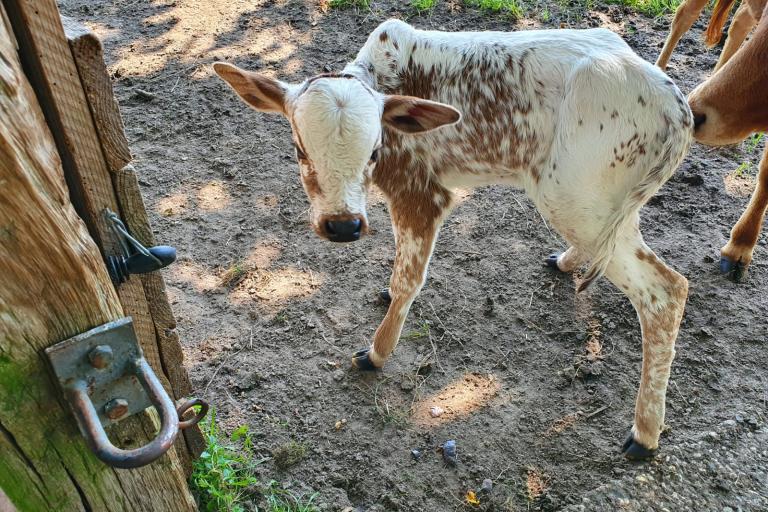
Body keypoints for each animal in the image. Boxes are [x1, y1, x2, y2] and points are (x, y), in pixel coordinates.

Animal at [213, 20, 692, 460]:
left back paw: (645, 433)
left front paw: (377, 352)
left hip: (572, 197)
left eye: (374, 151)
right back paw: (567, 261)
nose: (343, 225)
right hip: (607, 207)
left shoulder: (422, 191)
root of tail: (679, 110)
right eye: (300, 149)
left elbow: (409, 279)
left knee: (666, 289)